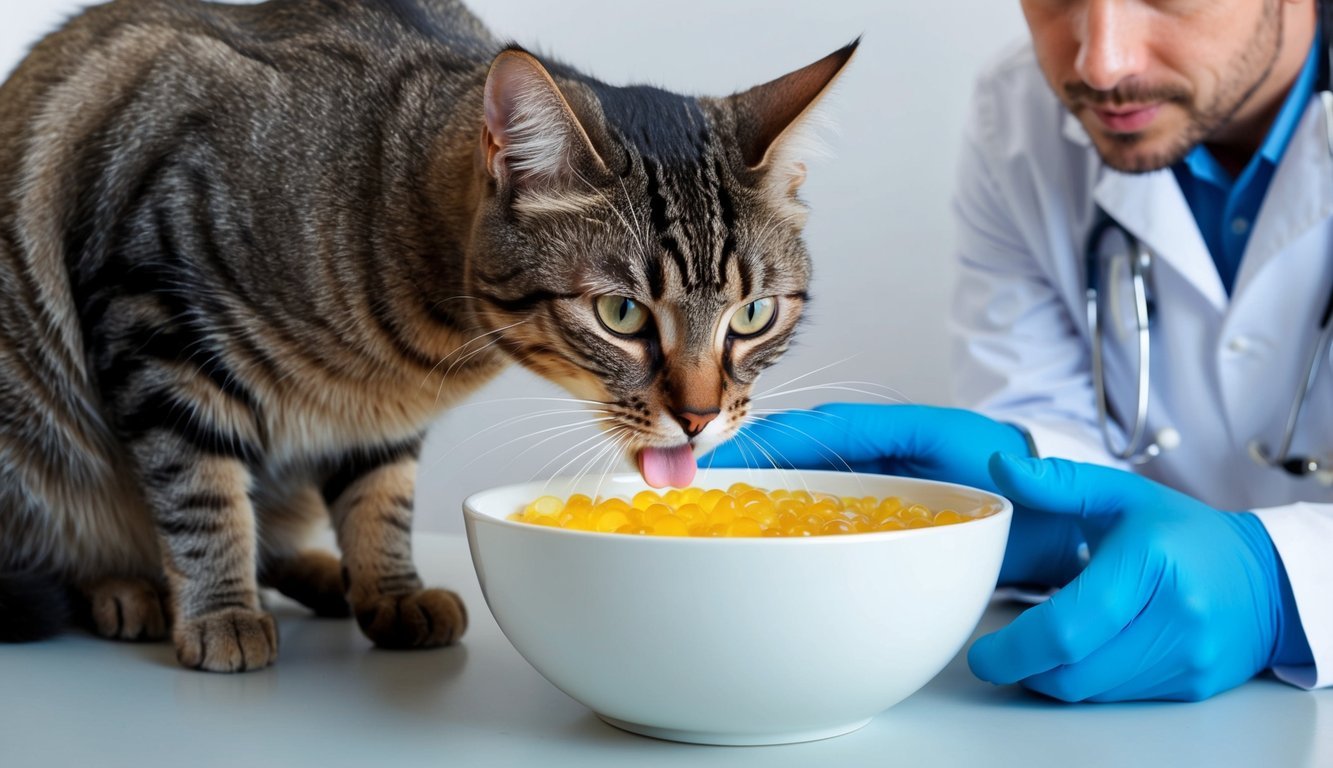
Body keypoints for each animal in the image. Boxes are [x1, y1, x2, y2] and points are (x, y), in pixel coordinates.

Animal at [0, 0, 853, 672]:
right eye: (622, 315)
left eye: (753, 315)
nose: (701, 418)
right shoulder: (154, 310)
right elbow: (201, 489)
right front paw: (219, 610)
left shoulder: (380, 413)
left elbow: (381, 497)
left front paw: (390, 590)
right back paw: (128, 589)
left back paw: (320, 575)